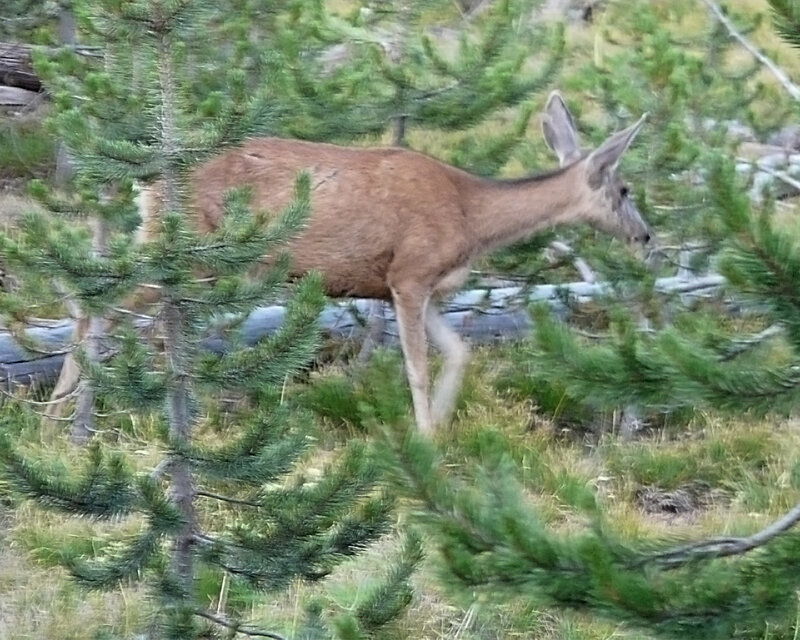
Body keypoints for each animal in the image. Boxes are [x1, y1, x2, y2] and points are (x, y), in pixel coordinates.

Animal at [47, 91, 650, 434]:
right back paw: (61, 416)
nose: (645, 236)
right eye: (624, 189)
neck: (472, 216)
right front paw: (425, 438)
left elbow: (461, 352)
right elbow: (417, 368)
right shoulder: (409, 274)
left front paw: (442, 430)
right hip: (192, 251)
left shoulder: (422, 288)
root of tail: (148, 176)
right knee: (101, 300)